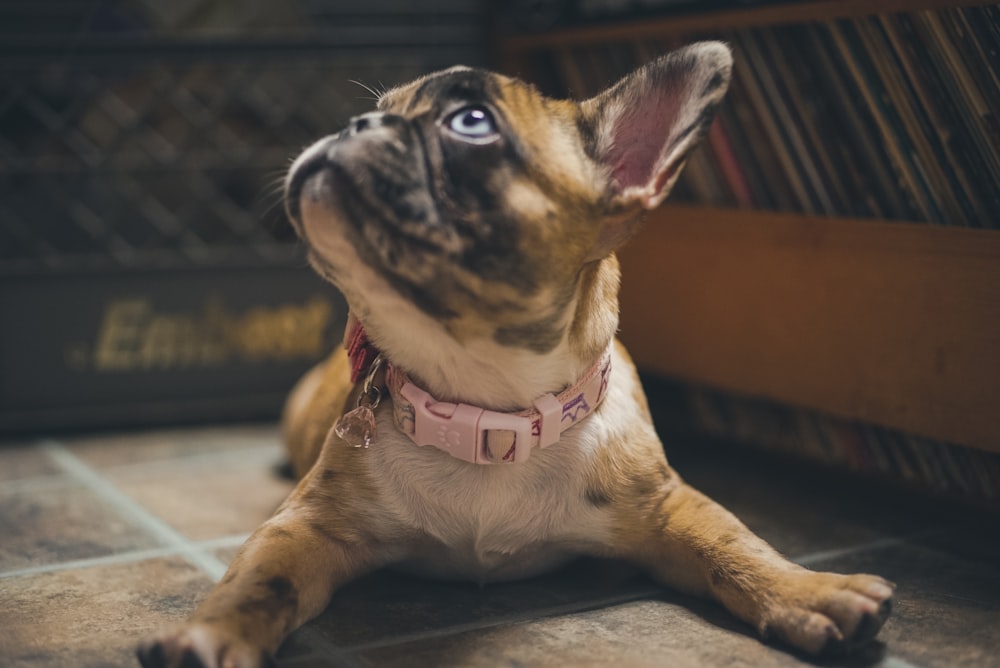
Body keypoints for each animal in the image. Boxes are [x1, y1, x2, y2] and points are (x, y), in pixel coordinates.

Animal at [137, 43, 896, 668]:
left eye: (471, 123)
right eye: (378, 108)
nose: (356, 123)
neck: (485, 406)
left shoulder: (667, 507)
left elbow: (735, 543)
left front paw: (808, 590)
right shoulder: (305, 528)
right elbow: (256, 581)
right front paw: (209, 637)